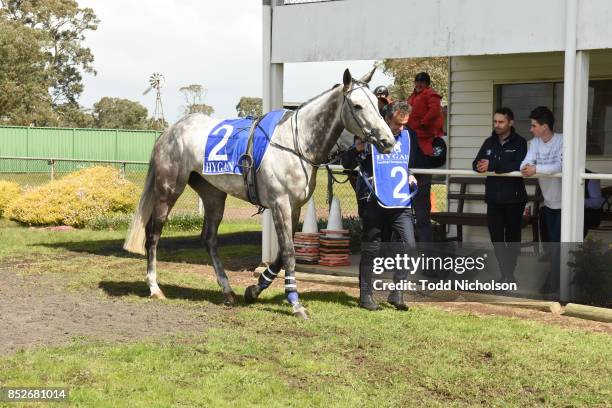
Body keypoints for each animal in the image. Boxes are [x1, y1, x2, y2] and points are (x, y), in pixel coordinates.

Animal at [122, 67, 394, 318]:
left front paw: (255, 289)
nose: (388, 141)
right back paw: (154, 287)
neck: (295, 143)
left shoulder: (295, 206)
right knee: (153, 233)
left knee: (209, 238)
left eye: (377, 105)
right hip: (168, 189)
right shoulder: (280, 204)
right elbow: (289, 253)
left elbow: (282, 254)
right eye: (358, 106)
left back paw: (227, 290)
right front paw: (295, 303)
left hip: (213, 194)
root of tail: (169, 132)